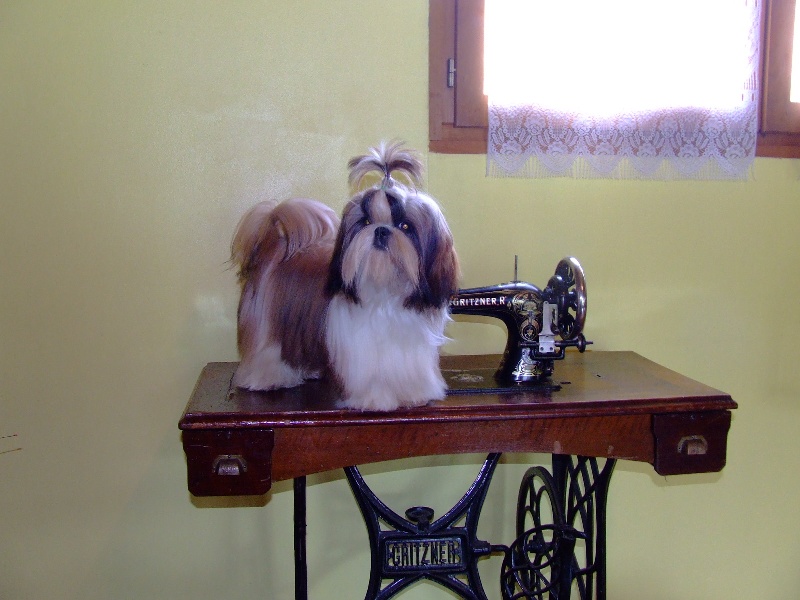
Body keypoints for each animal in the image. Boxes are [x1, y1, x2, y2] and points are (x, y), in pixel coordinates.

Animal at [231, 141, 460, 410]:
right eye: (367, 221)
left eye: (404, 226)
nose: (381, 230)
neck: (385, 294)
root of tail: (276, 245)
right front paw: (376, 399)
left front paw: (415, 394)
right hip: (266, 323)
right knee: (265, 350)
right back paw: (267, 378)